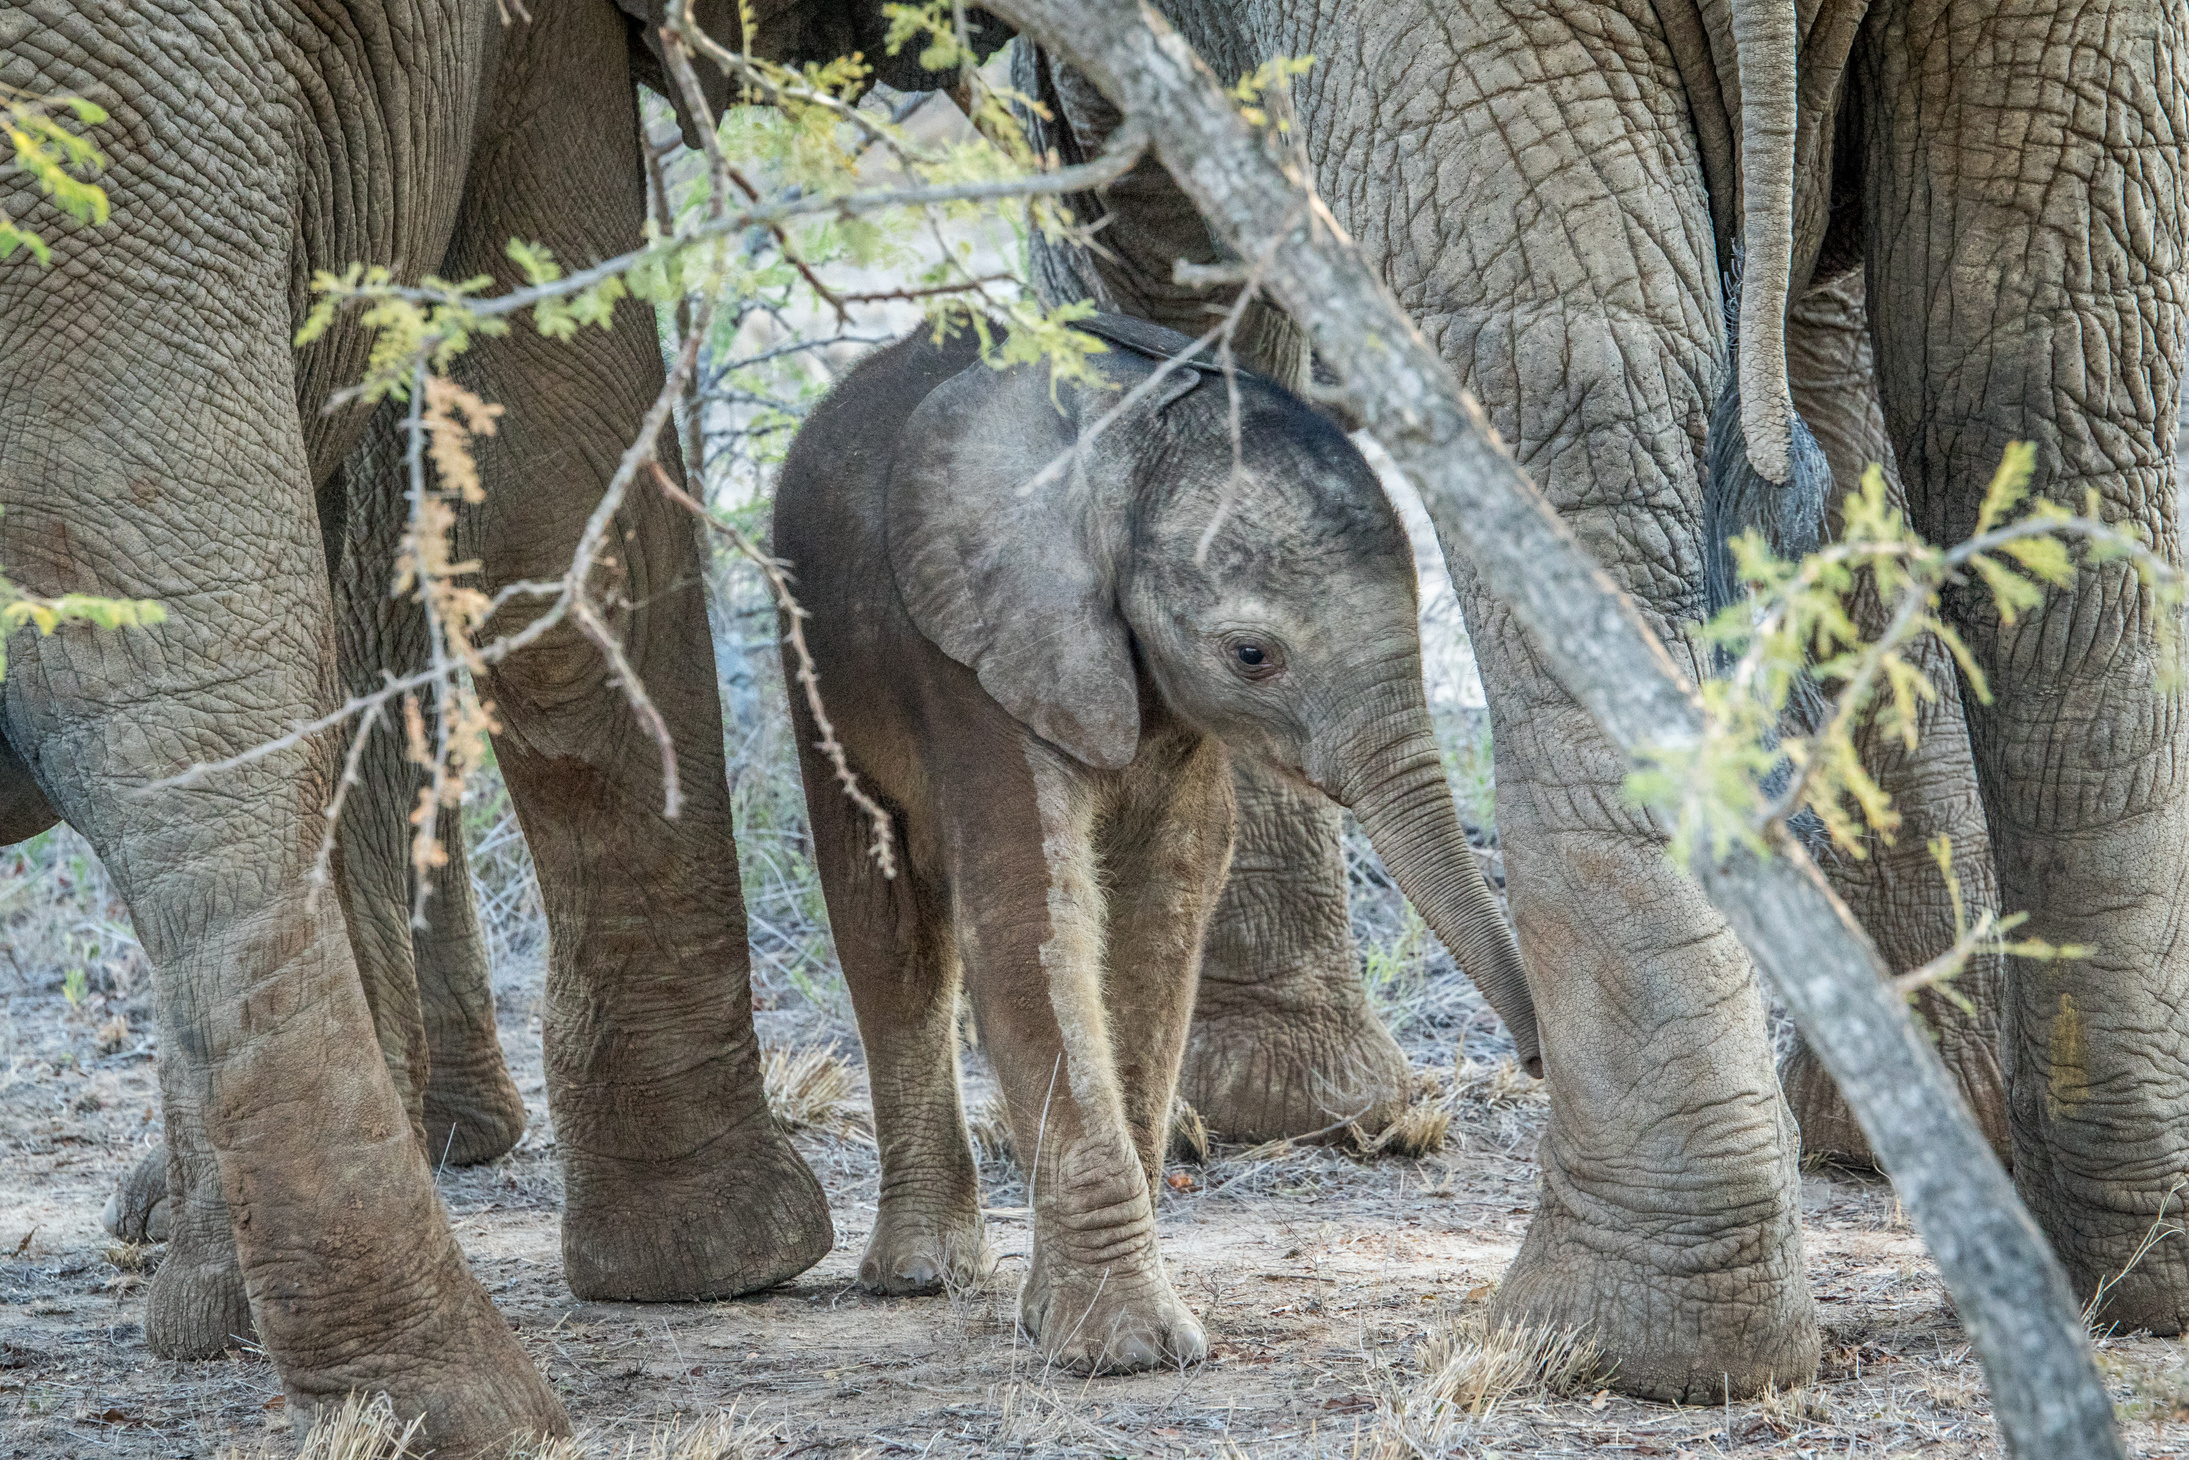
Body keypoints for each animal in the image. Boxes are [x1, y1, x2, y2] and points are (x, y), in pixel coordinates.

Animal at [774, 315, 1541, 1374]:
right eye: (1252, 655)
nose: (1541, 1057)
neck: (1121, 447)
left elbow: (1165, 904)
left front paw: (1062, 1319)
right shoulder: (974, 655)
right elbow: (1029, 917)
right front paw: (1126, 1354)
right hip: (812, 645)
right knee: (885, 927)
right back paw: (920, 1276)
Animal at [1020, 0, 2189, 1400]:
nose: (1525, 1053)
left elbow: (1156, 262)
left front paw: (1245, 1109)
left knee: (1559, 412)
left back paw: (1591, 1344)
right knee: (2060, 395)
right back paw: (2116, 1278)